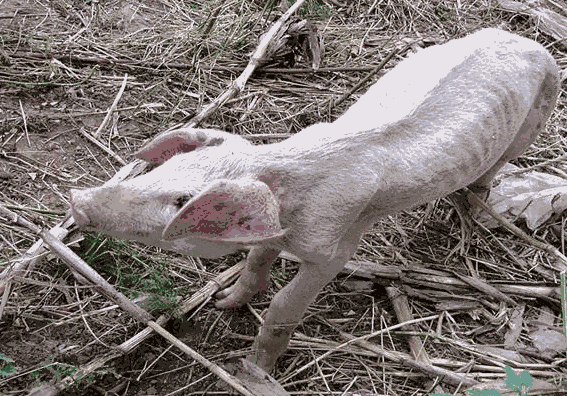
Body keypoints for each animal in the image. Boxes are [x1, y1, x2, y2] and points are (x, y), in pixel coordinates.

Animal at [70, 28, 560, 372]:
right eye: (163, 171)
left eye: (181, 201)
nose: (76, 199)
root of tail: (526, 40)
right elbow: (255, 262)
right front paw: (224, 302)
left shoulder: (333, 247)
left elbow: (287, 305)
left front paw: (255, 368)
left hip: (535, 116)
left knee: (495, 170)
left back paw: (472, 209)